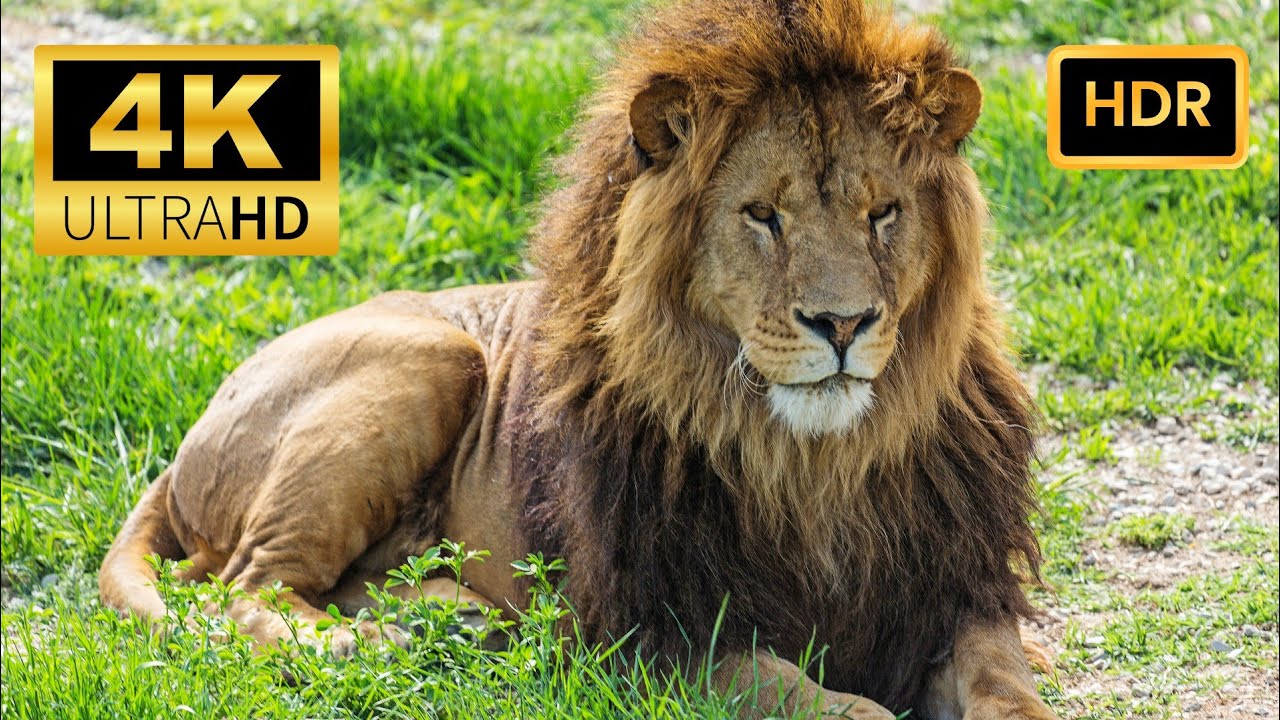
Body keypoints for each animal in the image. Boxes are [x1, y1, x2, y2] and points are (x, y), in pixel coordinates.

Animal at [99, 1, 1058, 718]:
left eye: (883, 213)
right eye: (763, 215)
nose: (844, 323)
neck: (815, 462)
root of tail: (191, 435)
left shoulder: (955, 593)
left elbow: (1004, 682)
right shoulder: (658, 630)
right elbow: (806, 695)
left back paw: (452, 618)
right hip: (430, 356)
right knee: (240, 587)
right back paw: (364, 641)